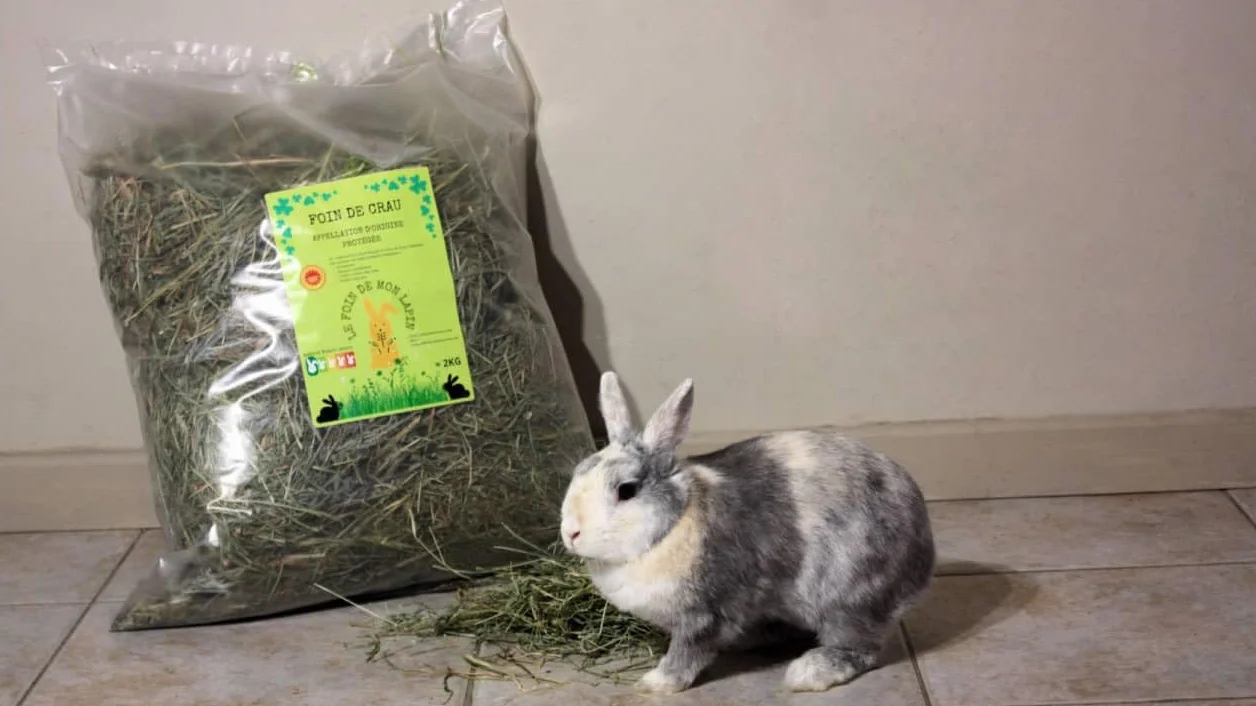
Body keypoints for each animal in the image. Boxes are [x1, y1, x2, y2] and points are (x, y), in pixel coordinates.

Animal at [560, 372, 935, 694]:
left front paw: (654, 684)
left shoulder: (703, 614)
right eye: (578, 471)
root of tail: (923, 552)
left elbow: (686, 653)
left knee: (861, 647)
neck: (673, 525)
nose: (570, 533)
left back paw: (808, 672)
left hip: (849, 599)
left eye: (626, 490)